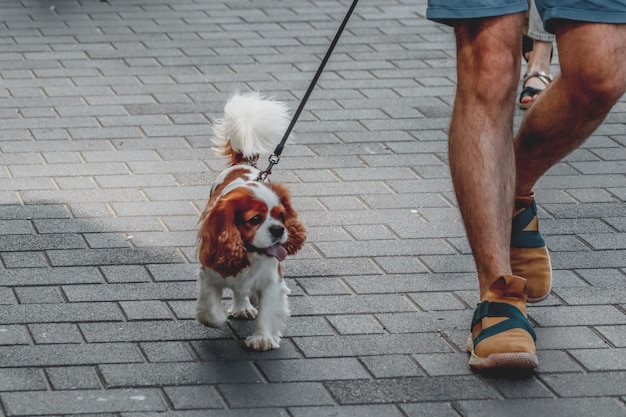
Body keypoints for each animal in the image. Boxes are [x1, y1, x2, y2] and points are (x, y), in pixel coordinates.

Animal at [193, 92, 304, 350]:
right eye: (255, 219)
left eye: (281, 216)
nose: (278, 230)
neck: (251, 253)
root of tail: (244, 164)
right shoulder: (210, 273)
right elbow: (209, 312)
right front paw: (218, 316)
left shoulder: (273, 281)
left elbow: (268, 311)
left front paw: (262, 338)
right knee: (239, 291)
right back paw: (242, 306)